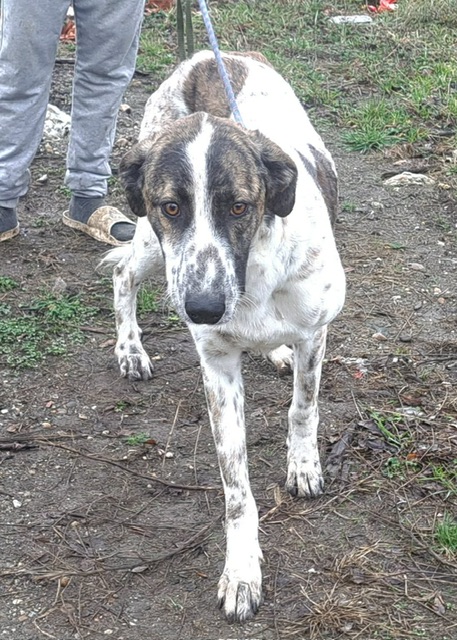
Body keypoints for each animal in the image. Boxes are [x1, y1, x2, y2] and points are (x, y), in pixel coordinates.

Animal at [103, 50, 345, 622]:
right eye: (171, 206)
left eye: (240, 206)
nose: (203, 309)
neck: (252, 271)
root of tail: (207, 57)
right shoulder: (216, 365)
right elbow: (236, 489)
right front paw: (241, 571)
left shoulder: (315, 334)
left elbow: (303, 409)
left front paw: (304, 464)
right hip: (153, 250)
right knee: (122, 272)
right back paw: (130, 350)